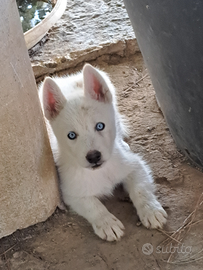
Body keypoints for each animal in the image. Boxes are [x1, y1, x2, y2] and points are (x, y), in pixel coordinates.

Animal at [39, 64, 167, 242]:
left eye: (100, 126)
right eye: (71, 135)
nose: (93, 157)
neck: (101, 171)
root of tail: (68, 77)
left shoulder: (134, 166)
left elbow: (141, 189)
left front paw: (150, 210)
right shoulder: (72, 192)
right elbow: (93, 206)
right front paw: (107, 223)